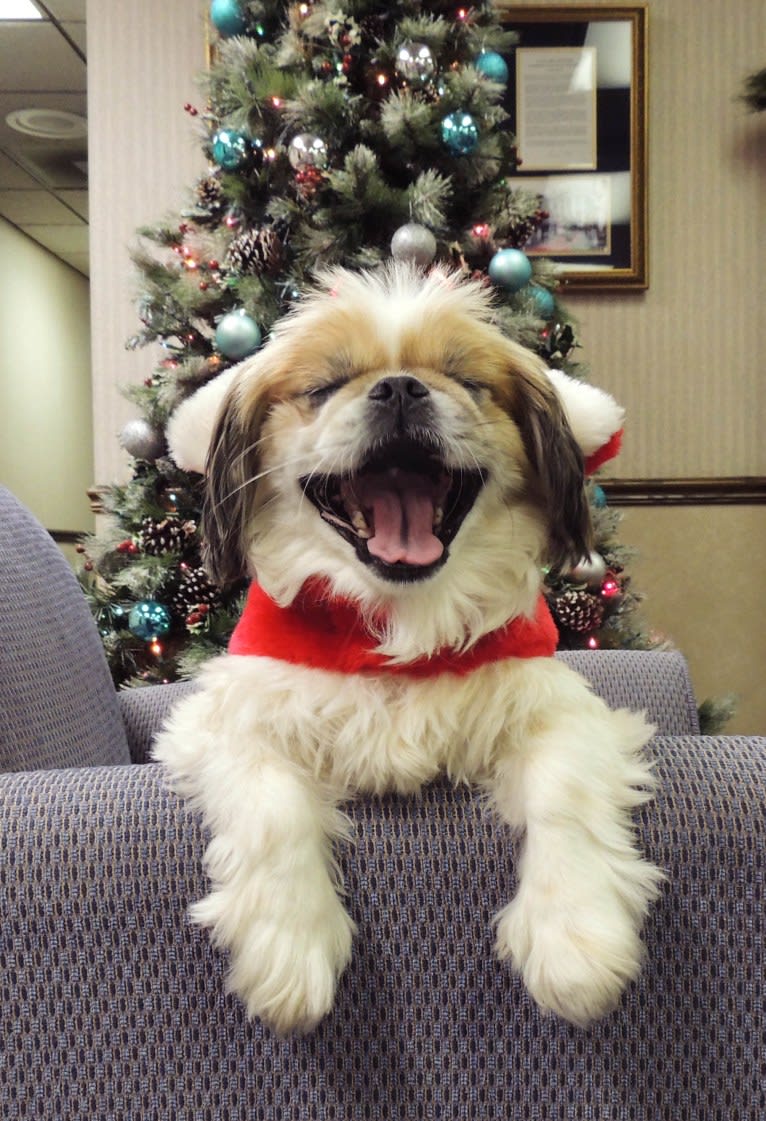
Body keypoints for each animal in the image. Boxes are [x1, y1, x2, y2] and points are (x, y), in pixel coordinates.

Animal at [154, 262, 659, 1031]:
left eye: (466, 380)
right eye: (326, 386)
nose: (398, 388)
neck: (397, 625)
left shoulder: (566, 714)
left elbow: (563, 790)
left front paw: (574, 941)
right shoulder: (225, 722)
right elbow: (273, 807)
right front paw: (289, 948)